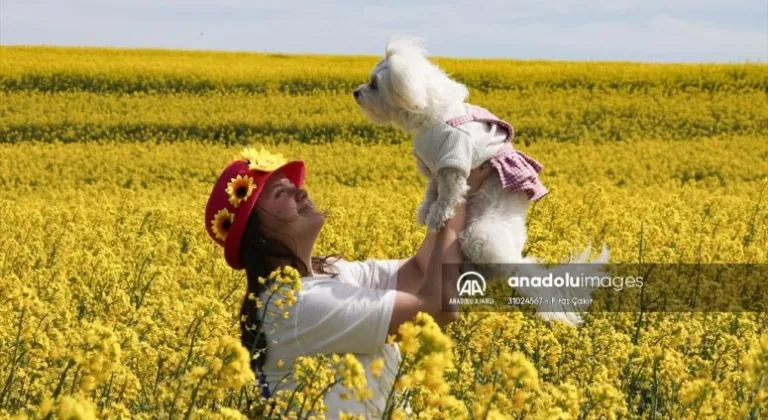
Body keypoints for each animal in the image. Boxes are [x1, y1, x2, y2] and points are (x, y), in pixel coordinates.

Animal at [356, 35, 612, 324]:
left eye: (374, 84)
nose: (356, 92)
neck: (430, 118)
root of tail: (512, 253)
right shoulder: (437, 166)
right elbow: (432, 191)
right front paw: (425, 211)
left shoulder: (454, 162)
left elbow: (448, 195)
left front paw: (437, 217)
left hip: (480, 235)